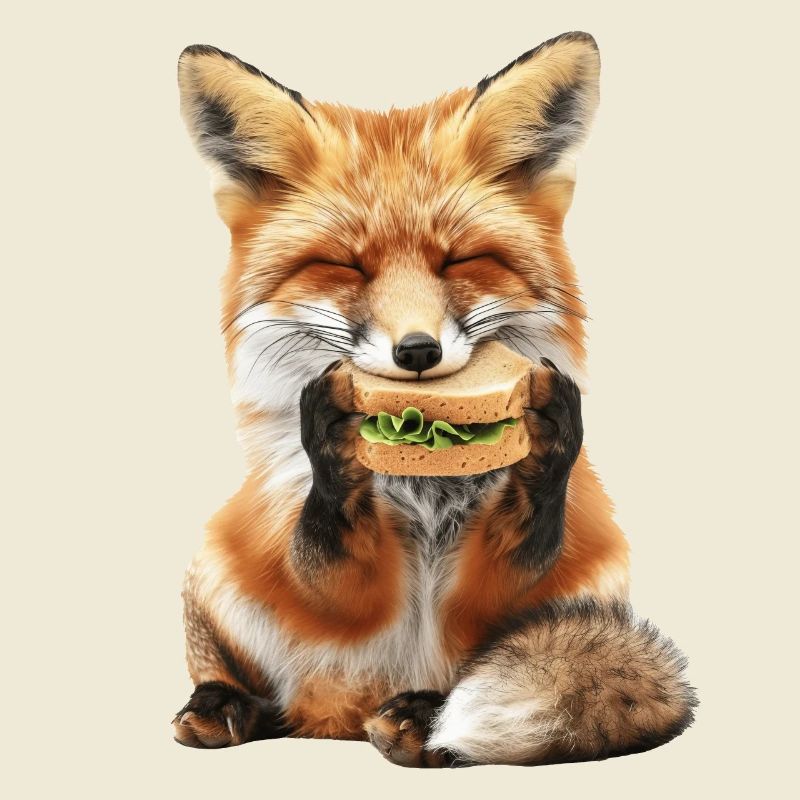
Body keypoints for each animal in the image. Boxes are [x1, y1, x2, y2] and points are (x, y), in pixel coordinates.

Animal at [172, 32, 696, 767]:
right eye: (346, 265)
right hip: (217, 569)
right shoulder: (312, 559)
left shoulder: (518, 586)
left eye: (459, 260)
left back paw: (421, 720)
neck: (426, 493)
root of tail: (336, 717)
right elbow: (328, 568)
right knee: (244, 677)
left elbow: (516, 559)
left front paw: (554, 429)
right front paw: (329, 430)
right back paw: (225, 704)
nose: (416, 352)